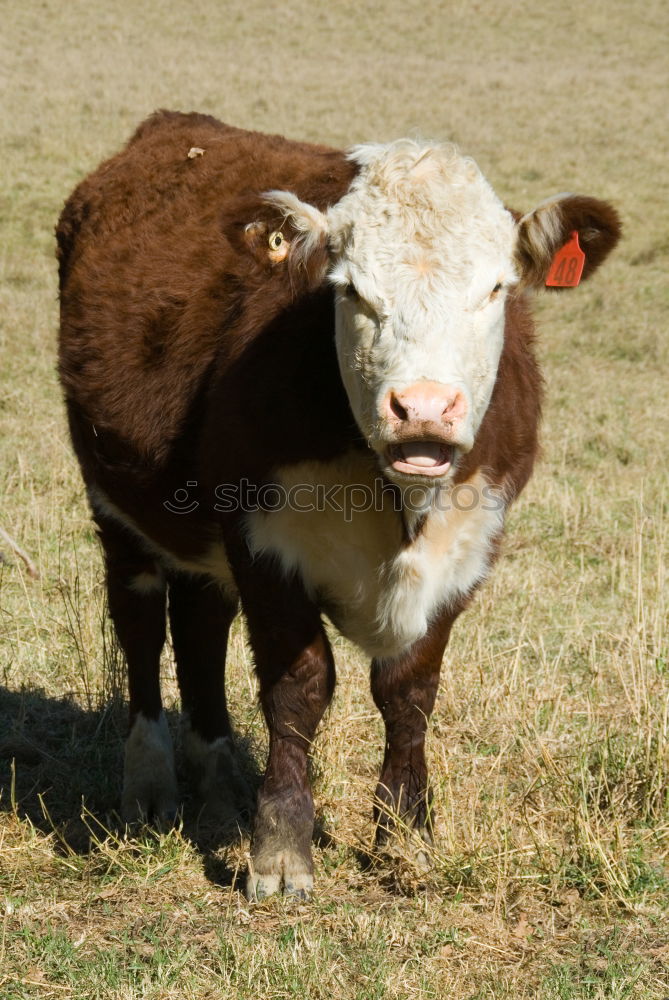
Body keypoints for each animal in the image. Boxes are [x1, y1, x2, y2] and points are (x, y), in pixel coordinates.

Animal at [57, 109, 620, 900]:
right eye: (350, 289)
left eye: (495, 288)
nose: (423, 408)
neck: (396, 497)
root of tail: (177, 125)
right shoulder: (262, 539)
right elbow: (299, 687)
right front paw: (280, 851)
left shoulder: (469, 545)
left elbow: (409, 690)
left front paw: (406, 838)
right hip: (118, 506)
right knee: (140, 625)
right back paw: (150, 783)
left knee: (200, 624)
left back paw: (220, 775)